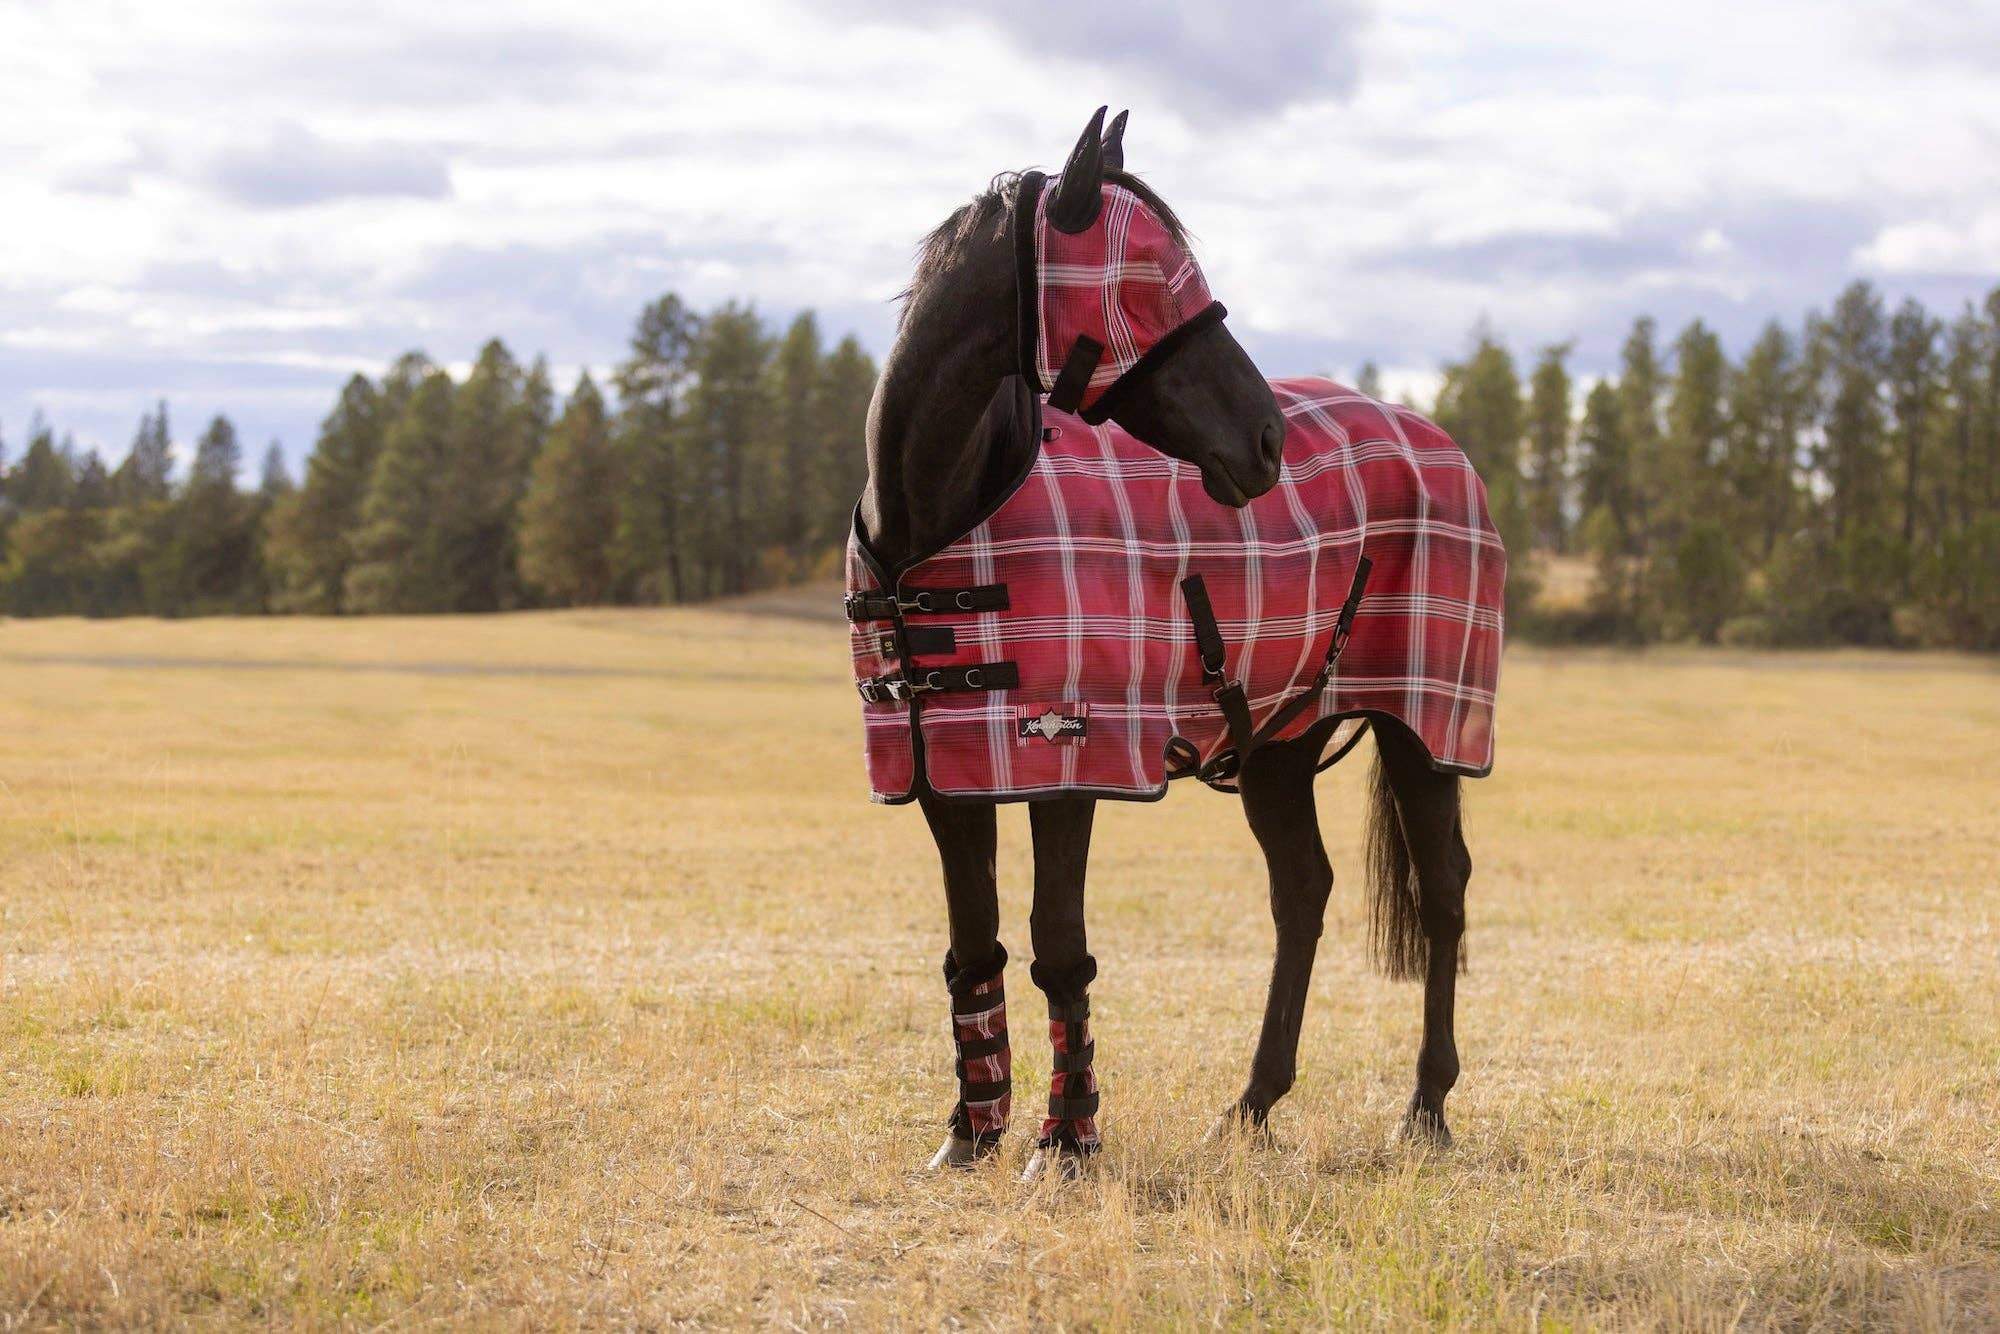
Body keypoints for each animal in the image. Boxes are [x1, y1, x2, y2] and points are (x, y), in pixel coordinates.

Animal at [850, 108, 1502, 1180]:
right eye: (1151, 281)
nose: (1267, 441)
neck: (945, 506)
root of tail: (1438, 440)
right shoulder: (943, 766)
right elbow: (974, 944)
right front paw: (971, 1135)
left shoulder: (1068, 756)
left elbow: (1058, 946)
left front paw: (1065, 1148)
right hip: (1280, 741)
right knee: (1303, 892)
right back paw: (1250, 1108)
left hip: (1427, 722)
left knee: (1442, 891)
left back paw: (1427, 1109)